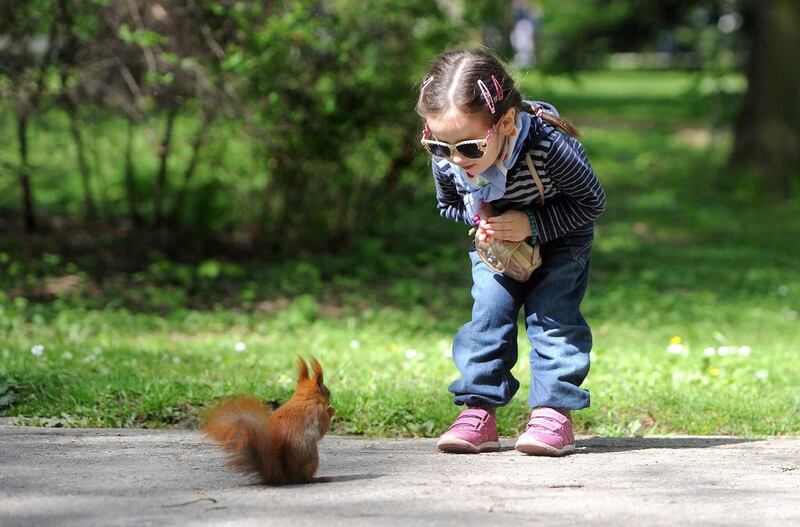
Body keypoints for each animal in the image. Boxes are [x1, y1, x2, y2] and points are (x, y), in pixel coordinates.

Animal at [205, 354, 336, 486]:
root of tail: (285, 477)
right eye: (328, 392)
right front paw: (331, 410)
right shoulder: (317, 413)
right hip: (311, 457)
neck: (305, 398)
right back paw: (318, 479)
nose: (330, 400)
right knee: (305, 479)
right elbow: (323, 429)